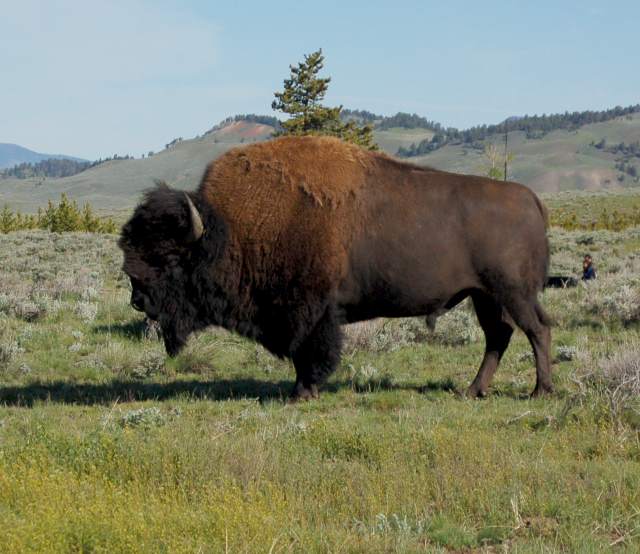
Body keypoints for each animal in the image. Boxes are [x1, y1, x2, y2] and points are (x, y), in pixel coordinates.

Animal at [119, 136, 552, 400]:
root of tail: (532, 199)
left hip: (512, 292)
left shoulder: (309, 312)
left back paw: (540, 391)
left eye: (168, 257)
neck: (226, 228)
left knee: (536, 330)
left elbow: (308, 352)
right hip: (485, 296)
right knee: (499, 336)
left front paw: (301, 394)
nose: (138, 298)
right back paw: (472, 390)